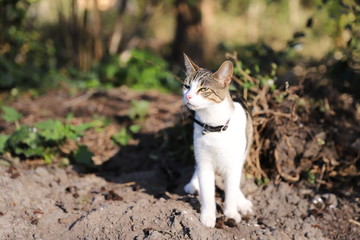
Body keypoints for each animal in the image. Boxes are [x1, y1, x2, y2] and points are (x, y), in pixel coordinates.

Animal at [183, 54, 253, 227]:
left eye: (203, 89)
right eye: (186, 86)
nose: (188, 96)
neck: (213, 126)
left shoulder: (233, 163)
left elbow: (231, 190)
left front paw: (231, 213)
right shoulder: (204, 161)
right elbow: (207, 192)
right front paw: (208, 217)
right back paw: (193, 184)